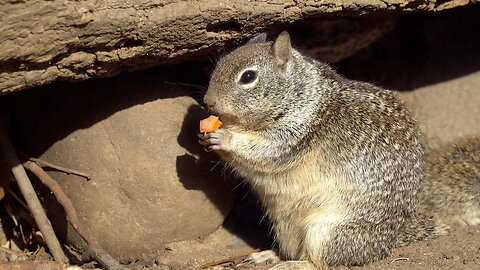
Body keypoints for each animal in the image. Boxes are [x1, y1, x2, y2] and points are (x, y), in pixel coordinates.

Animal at [199, 32, 480, 270]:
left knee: (321, 262)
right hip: (287, 230)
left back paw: (292, 265)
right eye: (219, 64)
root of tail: (386, 245)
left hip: (324, 232)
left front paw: (224, 136)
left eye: (248, 77)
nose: (207, 102)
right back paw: (268, 255)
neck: (302, 94)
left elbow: (264, 151)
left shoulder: (294, 134)